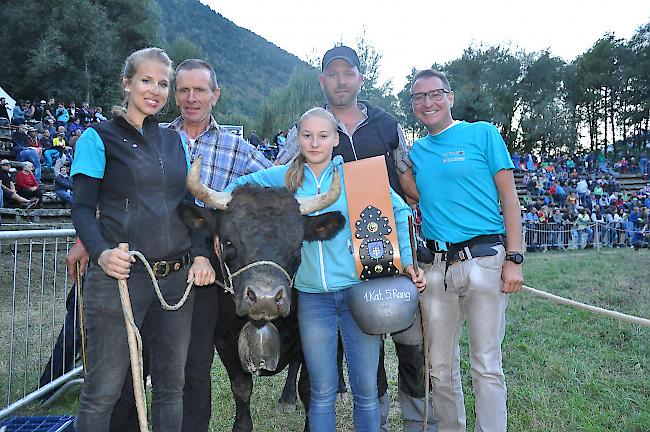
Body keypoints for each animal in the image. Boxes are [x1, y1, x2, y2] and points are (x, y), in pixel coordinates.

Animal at [182, 159, 344, 432]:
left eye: (298, 246)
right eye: (228, 243)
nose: (265, 298)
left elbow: (310, 390)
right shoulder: (224, 343)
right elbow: (242, 389)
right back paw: (287, 398)